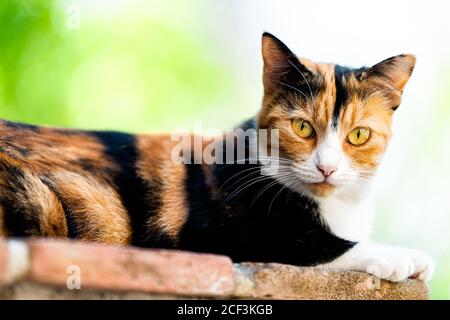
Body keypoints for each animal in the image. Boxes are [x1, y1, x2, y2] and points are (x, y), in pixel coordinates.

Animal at [0, 31, 432, 282]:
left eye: (359, 135)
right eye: (303, 127)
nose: (326, 167)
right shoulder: (223, 234)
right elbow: (325, 246)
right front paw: (401, 257)